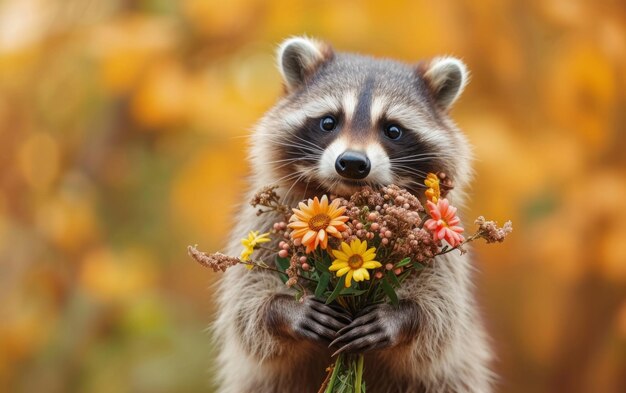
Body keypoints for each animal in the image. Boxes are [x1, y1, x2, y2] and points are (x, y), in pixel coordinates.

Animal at [211, 37, 492, 392]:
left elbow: (441, 311)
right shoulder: (269, 222)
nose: (353, 163)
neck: (345, 201)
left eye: (393, 130)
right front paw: (286, 309)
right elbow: (246, 304)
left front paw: (401, 316)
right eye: (328, 122)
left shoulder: (434, 231)